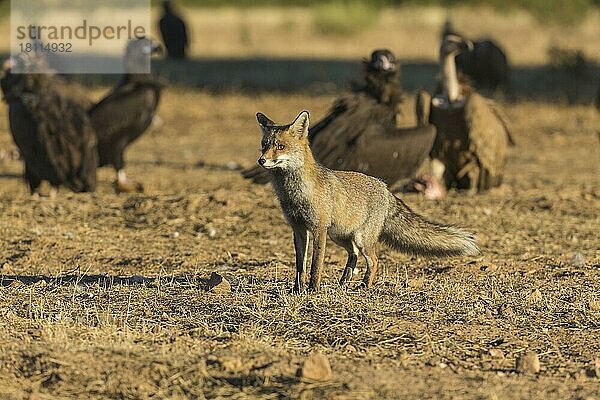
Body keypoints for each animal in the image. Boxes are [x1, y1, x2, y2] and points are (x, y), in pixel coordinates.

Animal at [255, 111, 480, 292]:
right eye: (264, 146)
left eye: (280, 146)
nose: (261, 161)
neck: (294, 193)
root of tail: (385, 187)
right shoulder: (299, 229)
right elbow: (300, 265)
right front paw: (297, 289)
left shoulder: (319, 228)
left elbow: (315, 265)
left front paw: (313, 290)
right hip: (340, 236)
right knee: (353, 255)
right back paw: (343, 284)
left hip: (360, 239)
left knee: (374, 260)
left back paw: (364, 286)